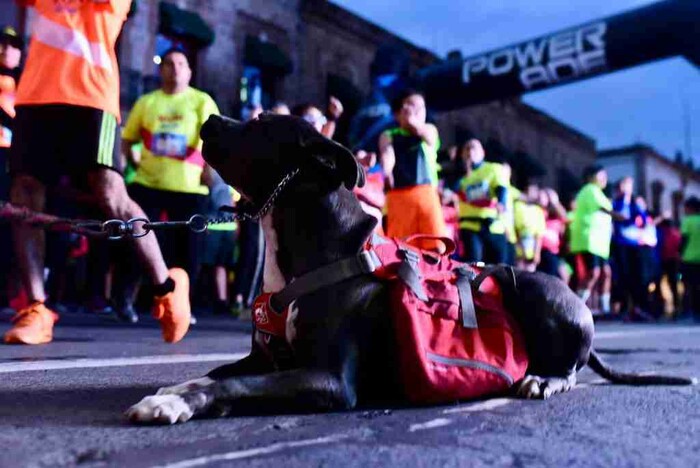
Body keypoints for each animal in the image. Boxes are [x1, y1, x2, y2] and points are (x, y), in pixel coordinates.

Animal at [126, 113, 696, 424]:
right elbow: (214, 374)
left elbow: (234, 388)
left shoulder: (329, 380)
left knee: (571, 369)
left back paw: (543, 378)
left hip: (538, 287)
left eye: (262, 125)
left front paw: (173, 406)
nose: (210, 120)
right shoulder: (264, 358)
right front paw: (170, 394)